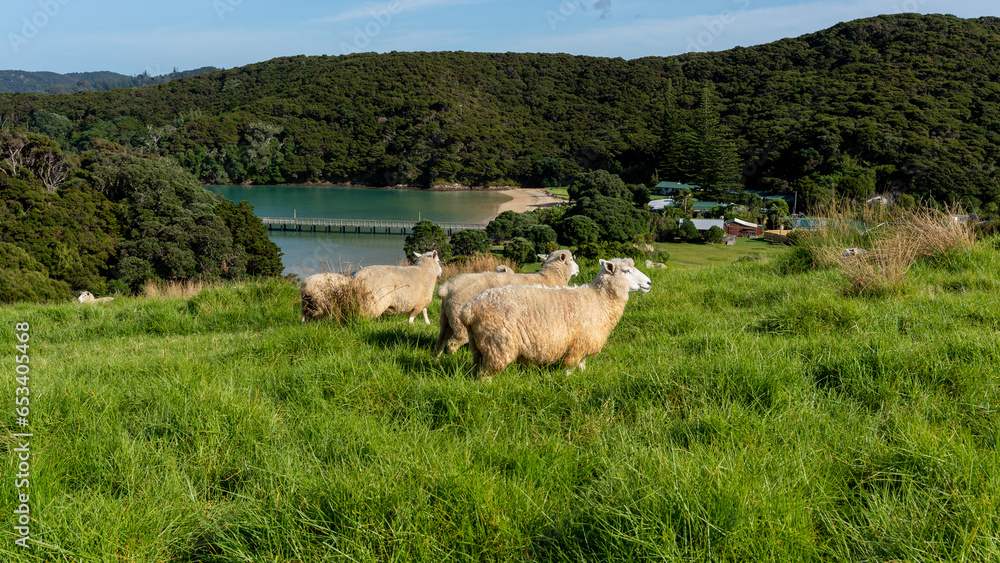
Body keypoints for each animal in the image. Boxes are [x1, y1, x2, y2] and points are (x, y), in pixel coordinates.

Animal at [300, 250, 442, 324]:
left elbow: (424, 311)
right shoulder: (421, 300)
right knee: (363, 316)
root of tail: (357, 278)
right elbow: (414, 315)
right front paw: (412, 325)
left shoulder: (421, 300)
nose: (441, 272)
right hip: (373, 302)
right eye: (439, 261)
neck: (425, 270)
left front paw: (427, 323)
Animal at [433, 249, 580, 357]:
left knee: (441, 339)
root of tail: (447, 287)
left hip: (447, 317)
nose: (578, 270)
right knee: (453, 343)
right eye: (571, 259)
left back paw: (436, 358)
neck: (549, 278)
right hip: (459, 319)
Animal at [459, 258, 651, 377]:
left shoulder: (583, 347)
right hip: (497, 345)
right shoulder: (576, 347)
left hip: (478, 347)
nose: (649, 283)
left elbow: (582, 367)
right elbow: (568, 370)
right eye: (626, 271)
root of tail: (469, 309)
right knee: (486, 375)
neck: (599, 299)